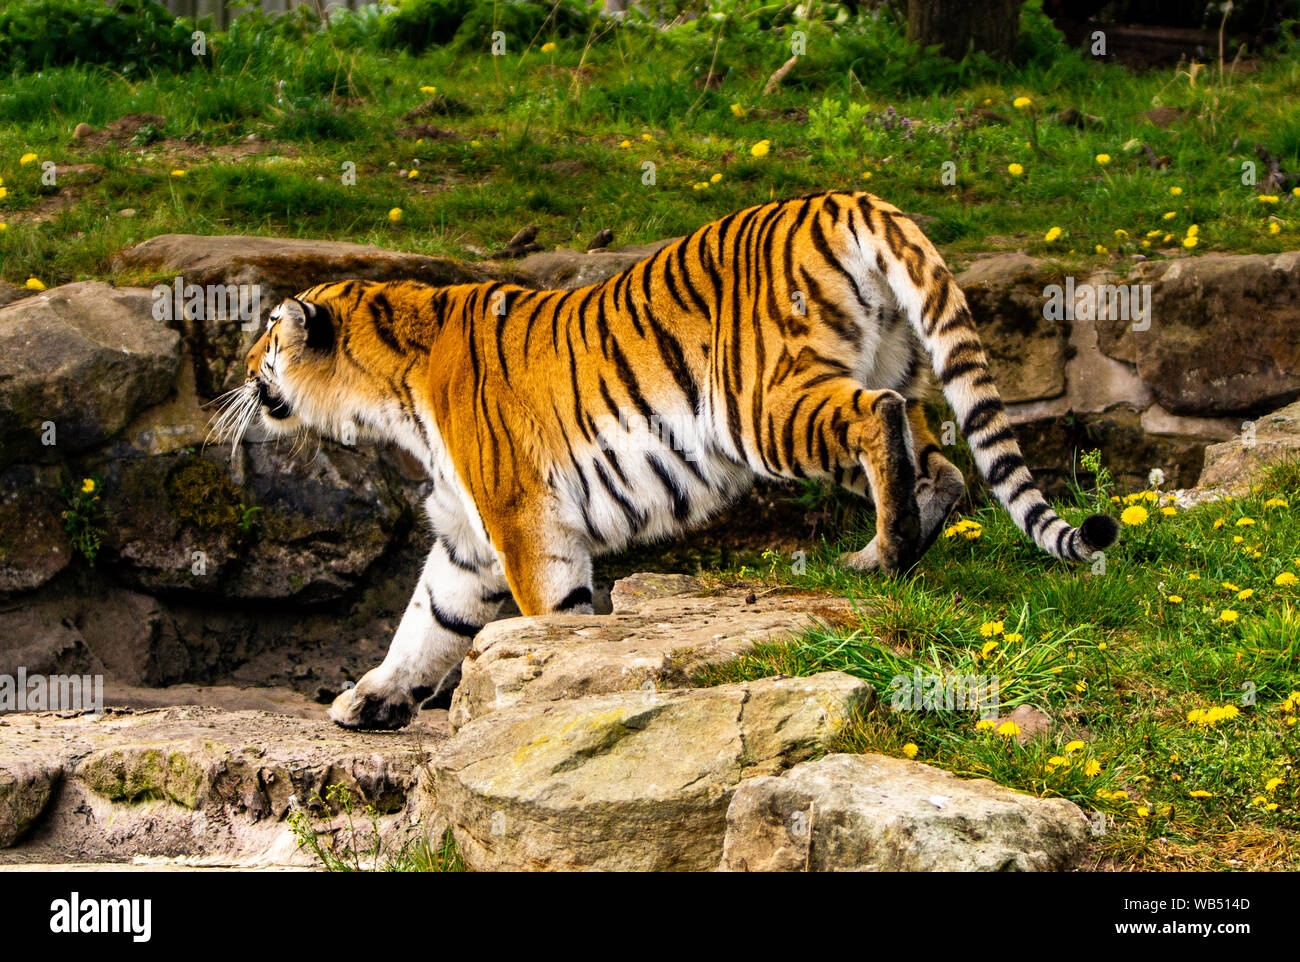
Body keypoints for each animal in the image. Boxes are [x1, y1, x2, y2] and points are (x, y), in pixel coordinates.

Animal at [213, 190, 1118, 731]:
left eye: (263, 340)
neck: (391, 389)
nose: (237, 371)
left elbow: (544, 609)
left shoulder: (522, 516)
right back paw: (894, 552)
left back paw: (881, 554)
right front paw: (371, 696)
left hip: (761, 405)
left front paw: (554, 672)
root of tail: (843, 198)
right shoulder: (468, 535)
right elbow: (424, 622)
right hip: (877, 367)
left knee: (880, 421)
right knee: (942, 459)